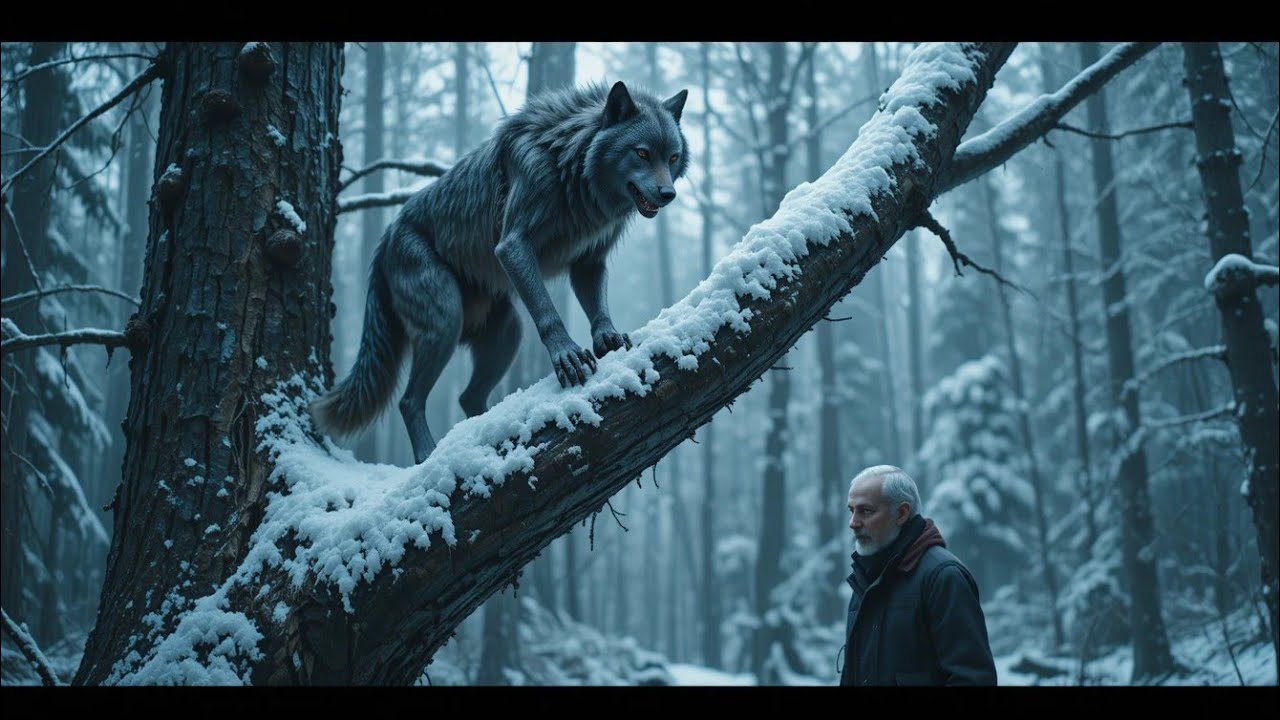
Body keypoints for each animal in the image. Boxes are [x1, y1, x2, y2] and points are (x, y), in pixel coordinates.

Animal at [311, 81, 690, 464]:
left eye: (672, 157)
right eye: (642, 153)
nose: (668, 193)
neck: (570, 164)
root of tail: (385, 239)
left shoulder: (589, 260)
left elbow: (598, 307)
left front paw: (608, 337)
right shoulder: (514, 245)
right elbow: (548, 312)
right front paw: (566, 353)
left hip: (508, 330)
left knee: (467, 397)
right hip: (446, 321)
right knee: (409, 401)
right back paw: (429, 455)